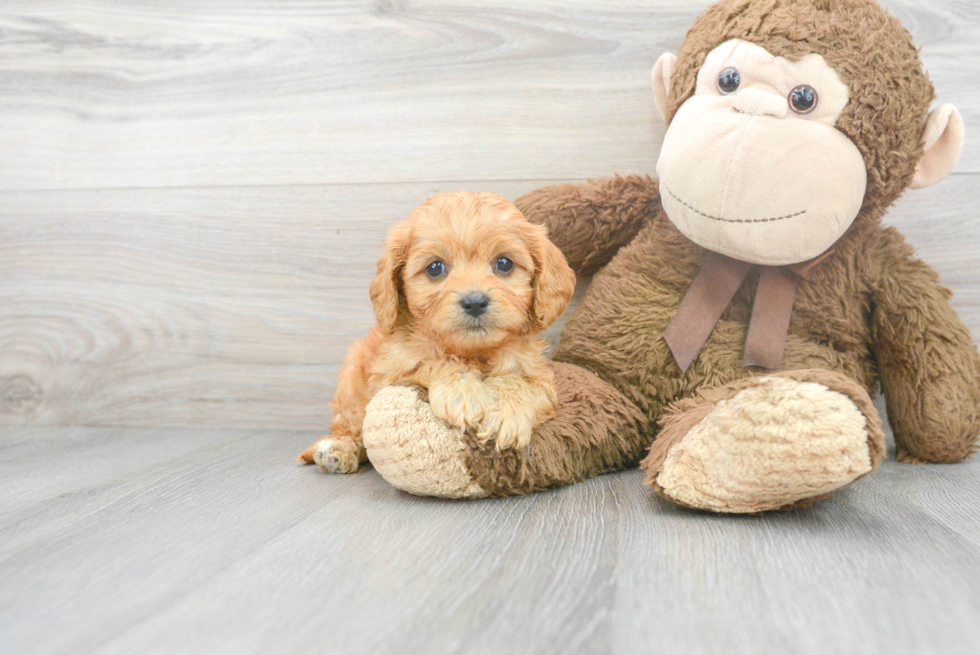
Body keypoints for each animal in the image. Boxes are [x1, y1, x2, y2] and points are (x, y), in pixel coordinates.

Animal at [296, 192, 576, 474]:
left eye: (504, 263)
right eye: (434, 268)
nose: (475, 302)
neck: (474, 352)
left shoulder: (540, 377)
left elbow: (521, 382)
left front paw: (505, 413)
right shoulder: (392, 371)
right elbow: (432, 361)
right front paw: (462, 394)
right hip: (351, 381)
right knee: (352, 430)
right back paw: (338, 449)